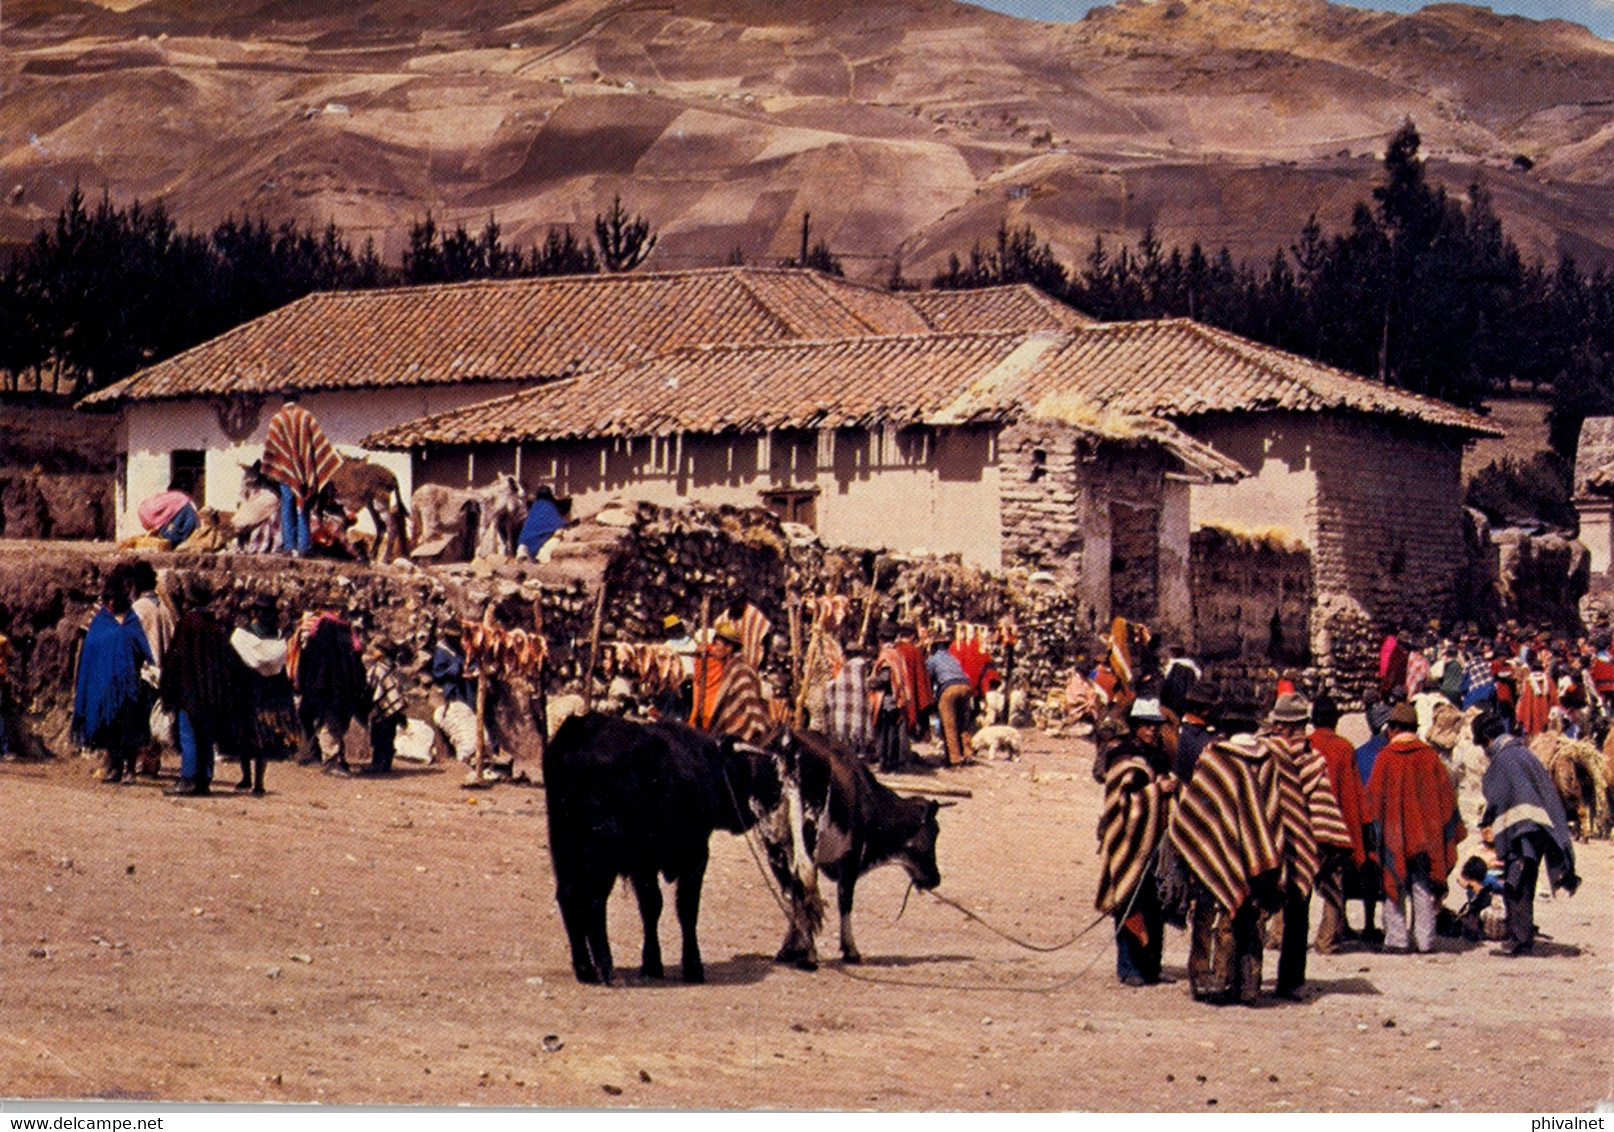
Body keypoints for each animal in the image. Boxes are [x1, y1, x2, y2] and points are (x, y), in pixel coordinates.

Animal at [758, 729, 942, 968]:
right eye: (934, 832)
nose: (935, 878)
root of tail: (788, 742)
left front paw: (788, 949)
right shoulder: (852, 856)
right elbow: (844, 899)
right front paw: (850, 950)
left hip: (774, 843)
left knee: (792, 889)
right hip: (808, 836)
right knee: (804, 883)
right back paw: (810, 954)